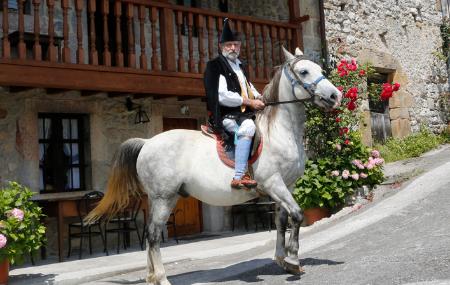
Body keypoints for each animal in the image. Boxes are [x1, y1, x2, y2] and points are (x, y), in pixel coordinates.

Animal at [87, 47, 342, 282]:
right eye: (304, 71)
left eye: (321, 69)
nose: (334, 96)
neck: (280, 131)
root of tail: (147, 142)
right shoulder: (273, 183)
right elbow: (297, 215)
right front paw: (293, 259)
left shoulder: (286, 186)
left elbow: (281, 221)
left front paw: (284, 260)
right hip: (163, 198)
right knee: (153, 235)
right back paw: (161, 277)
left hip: (164, 198)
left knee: (152, 234)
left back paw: (152, 277)